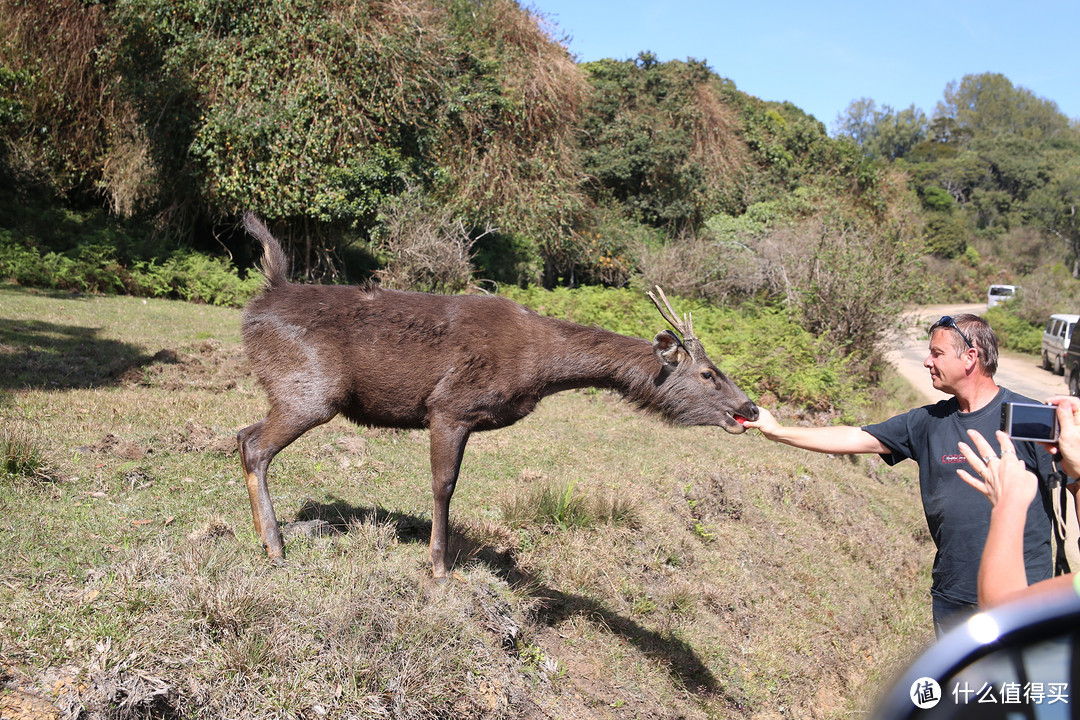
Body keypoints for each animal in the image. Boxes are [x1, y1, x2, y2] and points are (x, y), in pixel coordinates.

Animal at [238, 211, 760, 578]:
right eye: (709, 374)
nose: (750, 408)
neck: (539, 369)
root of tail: (264, 296)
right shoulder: (449, 406)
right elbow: (443, 485)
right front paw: (440, 567)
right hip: (311, 389)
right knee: (255, 445)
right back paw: (276, 547)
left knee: (243, 433)